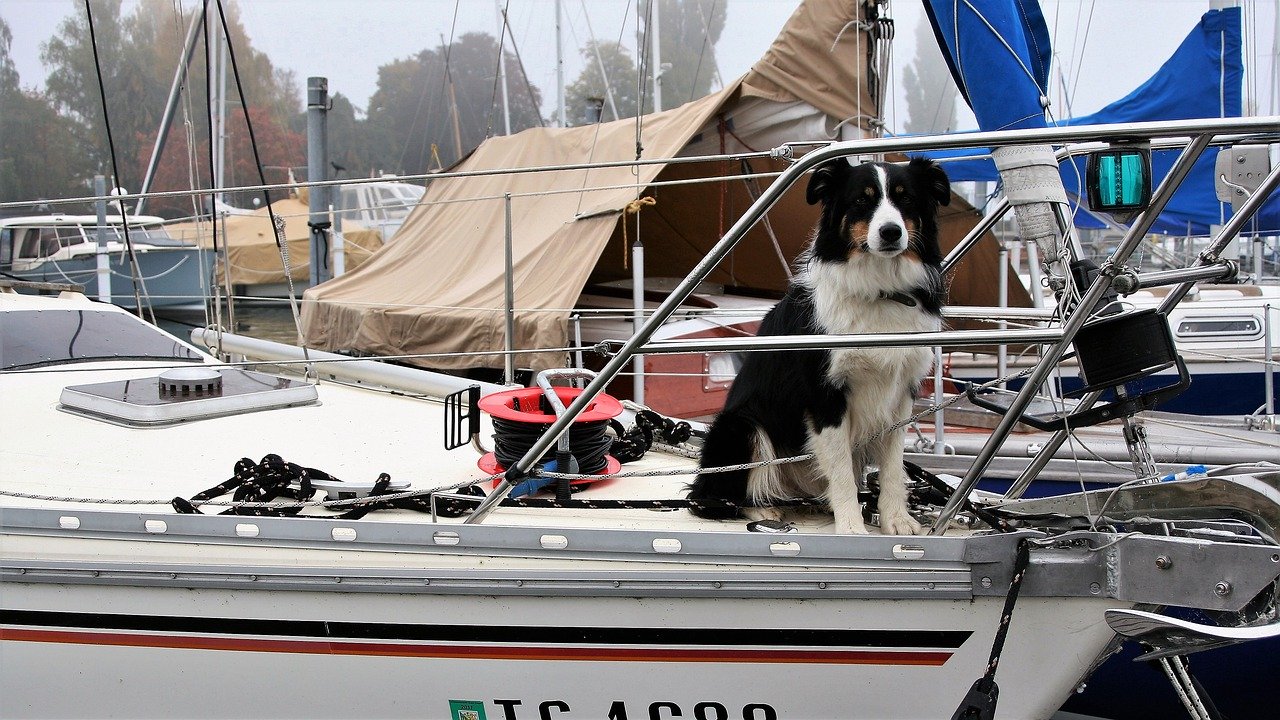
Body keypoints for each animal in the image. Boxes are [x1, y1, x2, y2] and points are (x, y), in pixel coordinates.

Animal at [691, 156, 952, 532]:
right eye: (861, 200)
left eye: (906, 198)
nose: (891, 232)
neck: (880, 291)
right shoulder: (825, 395)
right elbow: (841, 469)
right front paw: (851, 527)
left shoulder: (901, 391)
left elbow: (892, 465)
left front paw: (896, 520)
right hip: (741, 426)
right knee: (712, 497)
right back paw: (763, 509)